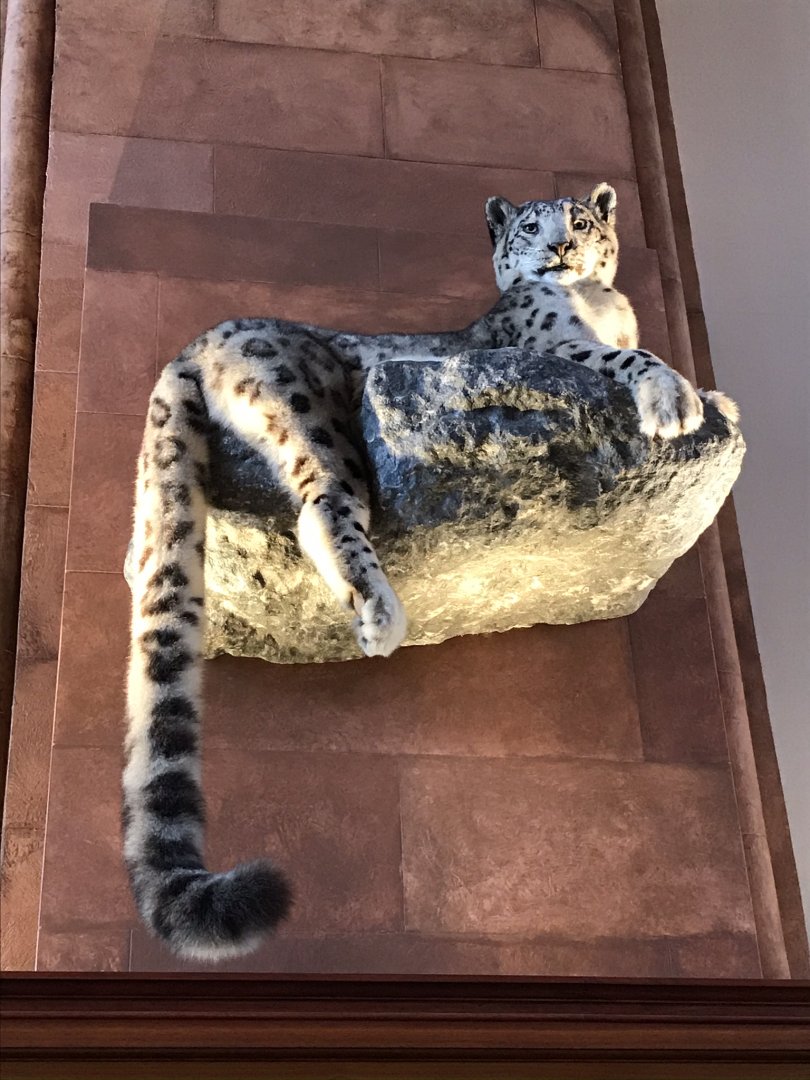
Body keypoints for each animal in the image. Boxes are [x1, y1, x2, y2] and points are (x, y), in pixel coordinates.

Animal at [123, 183, 738, 961]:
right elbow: (635, 360)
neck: (600, 306)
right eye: (530, 226)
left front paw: (711, 399)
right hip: (310, 411)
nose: (560, 248)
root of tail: (198, 341)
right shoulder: (551, 348)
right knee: (322, 504)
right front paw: (678, 400)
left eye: (582, 220)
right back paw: (381, 612)